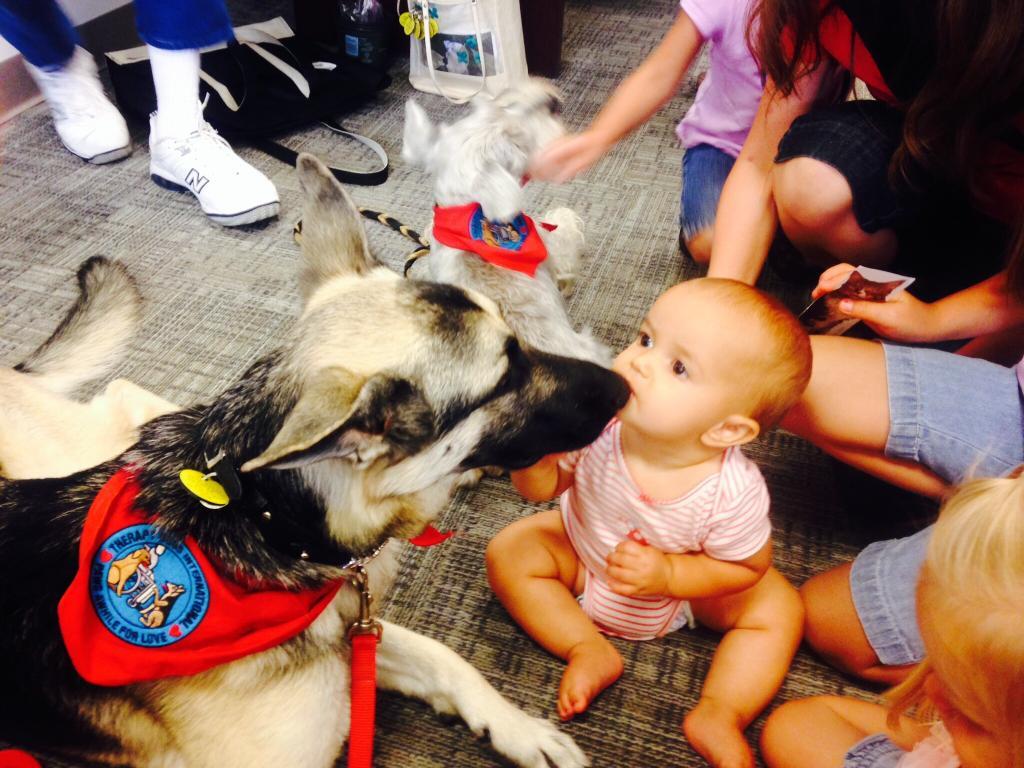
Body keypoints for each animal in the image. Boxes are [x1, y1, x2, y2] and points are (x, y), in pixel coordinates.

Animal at [0, 153, 622, 765]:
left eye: (516, 339)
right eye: (504, 378)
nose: (623, 387)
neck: (264, 521)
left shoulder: (355, 633)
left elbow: (441, 655)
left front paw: (518, 728)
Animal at [399, 79, 610, 368]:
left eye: (481, 106)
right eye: (516, 142)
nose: (551, 102)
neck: (470, 214)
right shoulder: (552, 249)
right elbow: (562, 231)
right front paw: (561, 215)